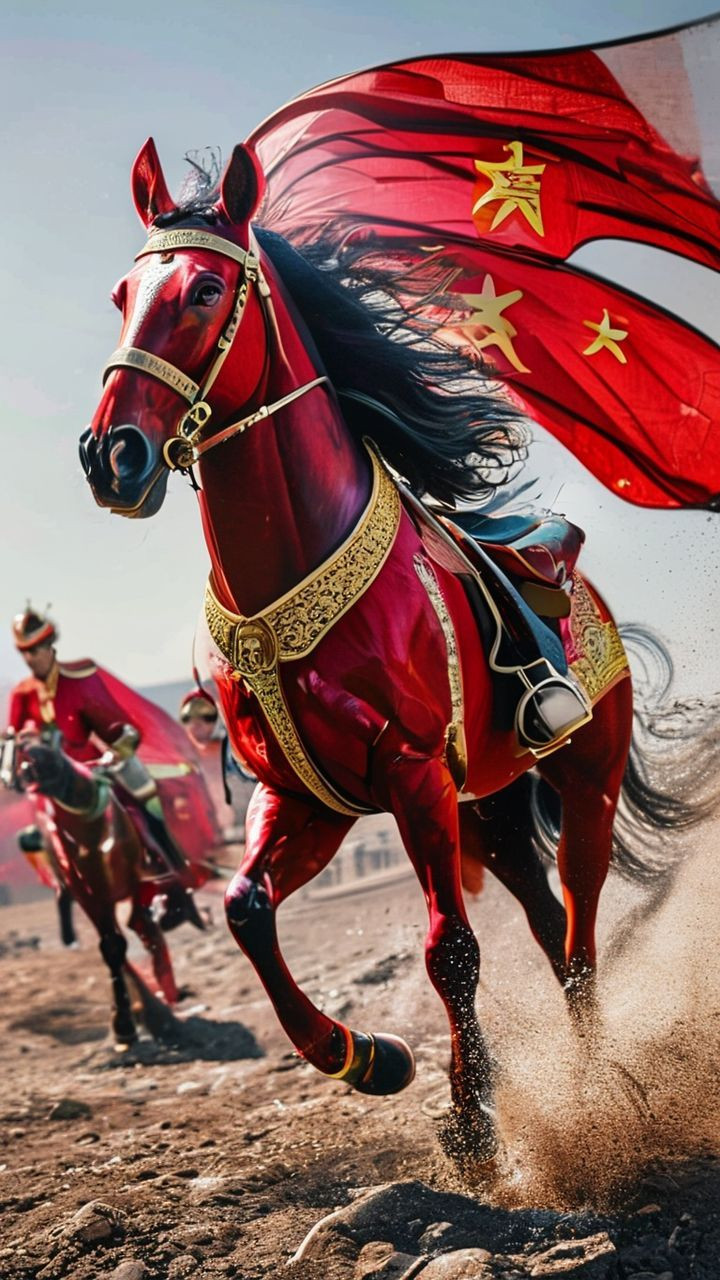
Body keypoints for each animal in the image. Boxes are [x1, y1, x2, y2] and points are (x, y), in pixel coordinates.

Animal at [7, 730, 197, 1046]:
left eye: (50, 745)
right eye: (21, 752)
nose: (31, 774)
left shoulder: (135, 885)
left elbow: (142, 929)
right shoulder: (91, 899)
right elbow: (112, 946)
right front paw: (125, 1022)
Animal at [80, 139, 690, 1162]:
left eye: (204, 290)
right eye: (123, 292)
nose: (110, 456)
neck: (286, 571)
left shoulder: (410, 775)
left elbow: (451, 949)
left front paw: (472, 1116)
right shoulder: (308, 798)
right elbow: (246, 910)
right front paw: (368, 1059)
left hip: (583, 781)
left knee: (578, 930)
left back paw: (599, 1078)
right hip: (490, 808)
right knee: (548, 919)